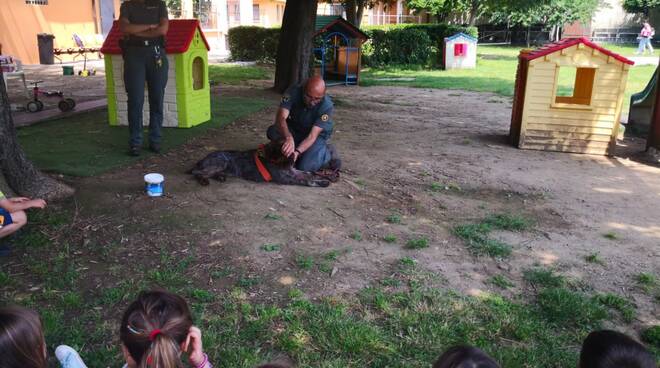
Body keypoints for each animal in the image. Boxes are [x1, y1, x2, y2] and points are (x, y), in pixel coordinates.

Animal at [188, 141, 338, 187]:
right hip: (221, 162)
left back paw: (220, 177)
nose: (291, 158)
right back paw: (203, 180)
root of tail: (201, 160)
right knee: (196, 172)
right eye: (281, 150)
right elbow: (307, 180)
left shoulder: (294, 172)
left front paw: (323, 177)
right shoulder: (286, 178)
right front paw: (322, 182)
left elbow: (309, 174)